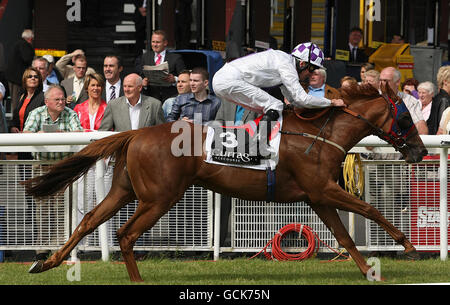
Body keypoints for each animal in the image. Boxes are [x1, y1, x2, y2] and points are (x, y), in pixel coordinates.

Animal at [24, 83, 428, 280]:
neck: (319, 134)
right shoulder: (323, 190)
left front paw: (370, 272)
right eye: (405, 116)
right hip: (159, 198)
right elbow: (370, 209)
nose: (420, 150)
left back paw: (45, 263)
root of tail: (136, 134)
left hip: (126, 190)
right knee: (125, 234)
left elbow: (344, 236)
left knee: (89, 220)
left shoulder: (318, 197)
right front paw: (408, 245)